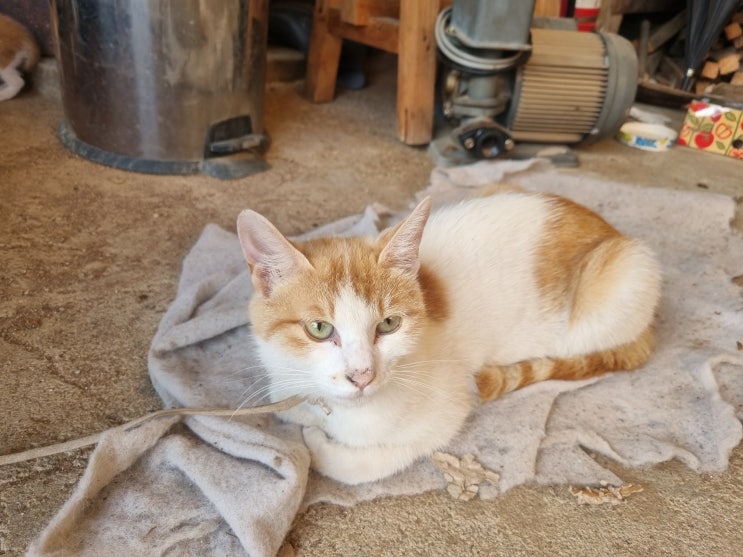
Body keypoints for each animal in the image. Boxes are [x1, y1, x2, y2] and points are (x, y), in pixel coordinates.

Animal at [236, 191, 661, 485]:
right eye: (319, 329)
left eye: (388, 324)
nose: (362, 375)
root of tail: (614, 231)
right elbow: (285, 402)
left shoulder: (444, 413)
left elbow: (363, 463)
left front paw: (316, 443)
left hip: (618, 285)